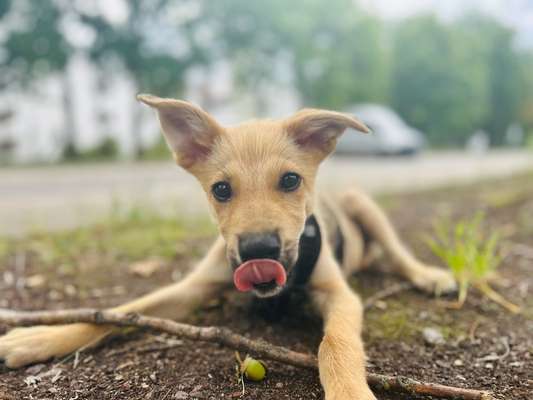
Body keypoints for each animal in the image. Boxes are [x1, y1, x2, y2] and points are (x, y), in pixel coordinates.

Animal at [1, 95, 458, 398]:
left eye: (290, 180)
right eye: (221, 190)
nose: (258, 251)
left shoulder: (339, 294)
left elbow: (336, 345)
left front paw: (349, 391)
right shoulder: (192, 285)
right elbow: (120, 311)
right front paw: (39, 337)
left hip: (362, 203)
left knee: (397, 254)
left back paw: (431, 276)